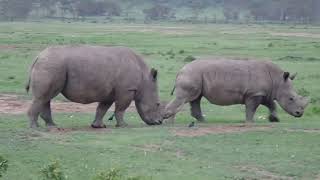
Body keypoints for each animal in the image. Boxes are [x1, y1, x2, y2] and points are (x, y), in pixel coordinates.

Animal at [164, 59, 308, 123]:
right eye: (291, 98)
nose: (299, 113)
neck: (277, 80)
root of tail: (180, 70)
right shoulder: (254, 94)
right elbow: (251, 108)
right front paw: (249, 122)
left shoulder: (264, 93)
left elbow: (271, 104)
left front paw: (274, 119)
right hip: (192, 74)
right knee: (184, 97)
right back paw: (168, 121)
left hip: (195, 76)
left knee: (196, 98)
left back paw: (203, 121)